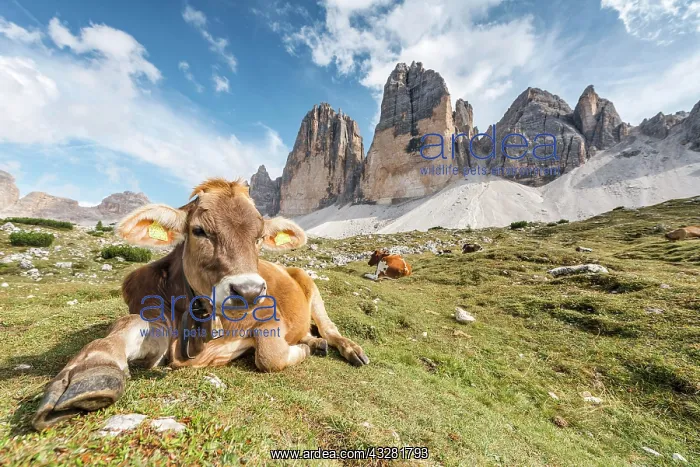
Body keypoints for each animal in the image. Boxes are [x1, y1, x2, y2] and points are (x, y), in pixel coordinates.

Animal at [32, 178, 368, 431]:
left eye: (259, 237)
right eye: (199, 231)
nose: (247, 291)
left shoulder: (271, 319)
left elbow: (269, 355)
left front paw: (298, 351)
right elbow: (128, 327)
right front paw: (93, 368)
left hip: (312, 287)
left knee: (329, 328)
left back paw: (345, 348)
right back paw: (315, 343)